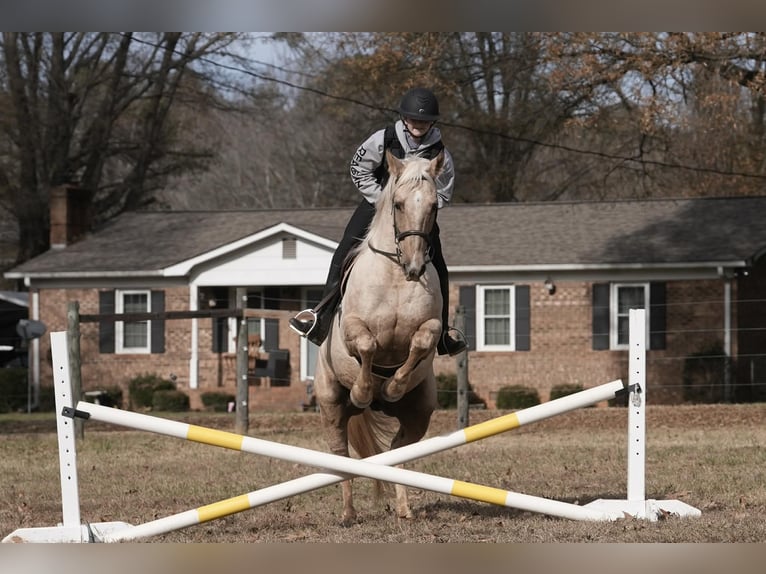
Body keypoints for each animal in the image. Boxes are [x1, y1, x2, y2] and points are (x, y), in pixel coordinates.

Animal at [313, 150, 445, 525]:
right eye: (398, 204)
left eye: (433, 206)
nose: (415, 268)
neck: (396, 275)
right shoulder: (352, 329)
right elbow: (368, 345)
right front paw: (363, 390)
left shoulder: (431, 327)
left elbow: (422, 341)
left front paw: (392, 386)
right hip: (330, 402)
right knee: (340, 455)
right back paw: (347, 513)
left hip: (419, 412)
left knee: (398, 451)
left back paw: (404, 508)